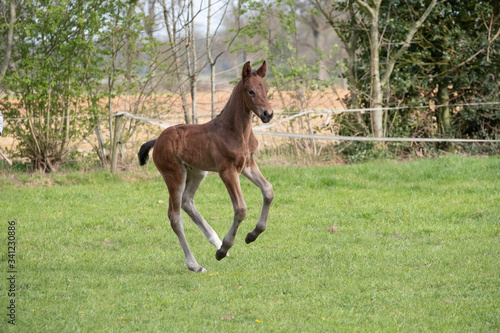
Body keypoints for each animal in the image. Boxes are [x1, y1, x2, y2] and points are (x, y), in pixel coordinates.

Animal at [139, 61, 276, 272]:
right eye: (251, 91)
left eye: (266, 90)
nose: (267, 114)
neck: (235, 131)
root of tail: (158, 140)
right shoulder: (227, 171)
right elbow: (240, 208)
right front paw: (225, 247)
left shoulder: (247, 164)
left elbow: (268, 190)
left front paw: (251, 236)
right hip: (174, 175)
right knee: (175, 216)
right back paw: (195, 264)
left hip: (197, 173)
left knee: (187, 201)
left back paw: (216, 242)